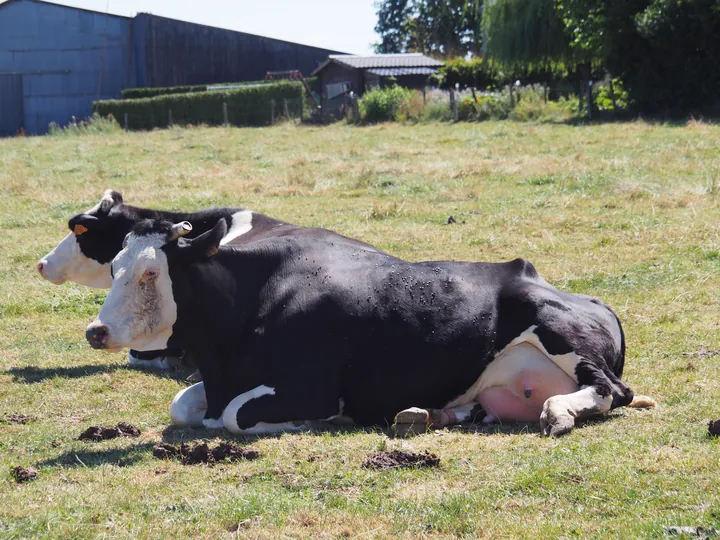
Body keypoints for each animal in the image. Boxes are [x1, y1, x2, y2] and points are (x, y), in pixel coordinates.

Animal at [87, 217, 656, 436]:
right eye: (113, 267)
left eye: (149, 273)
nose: (95, 331)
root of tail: (591, 299)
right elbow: (184, 404)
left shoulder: (310, 387)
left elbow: (232, 416)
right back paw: (426, 413)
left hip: (559, 330)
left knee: (610, 390)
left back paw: (560, 411)